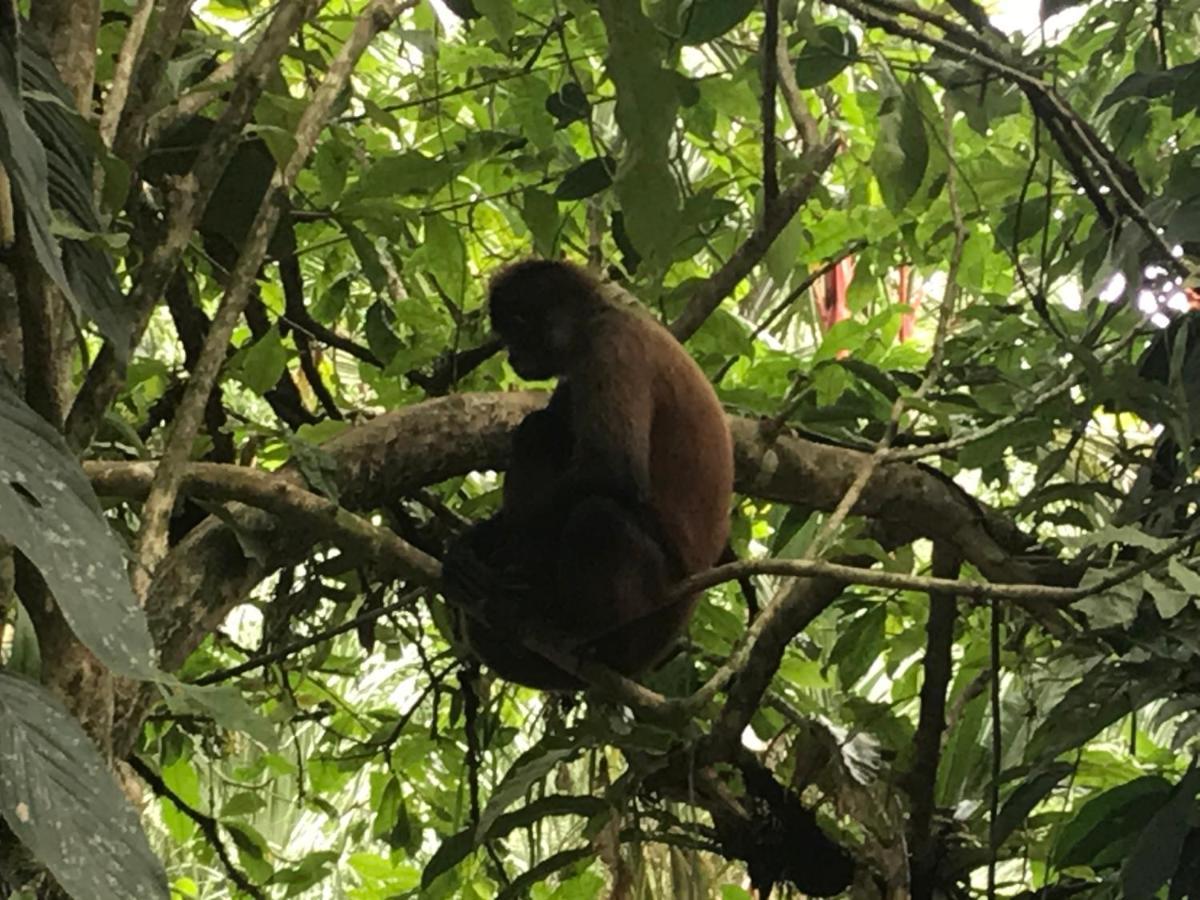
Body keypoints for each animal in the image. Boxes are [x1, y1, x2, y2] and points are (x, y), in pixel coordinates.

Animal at [446, 256, 734, 696]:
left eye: (516, 328)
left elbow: (613, 469)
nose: (511, 357)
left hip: (650, 610)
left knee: (597, 517)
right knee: (540, 430)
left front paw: (493, 554)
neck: (599, 315)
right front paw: (472, 545)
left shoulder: (610, 345)